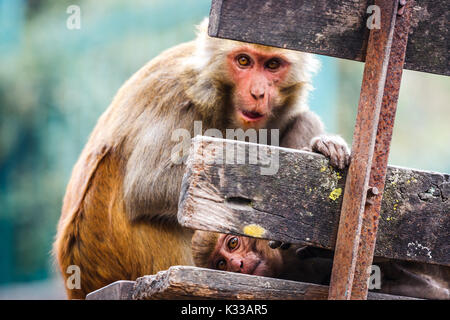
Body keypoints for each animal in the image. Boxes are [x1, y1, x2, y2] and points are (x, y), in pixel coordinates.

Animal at [54, 20, 350, 298]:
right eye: (244, 61)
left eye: (273, 65)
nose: (258, 93)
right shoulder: (177, 95)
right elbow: (147, 185)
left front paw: (322, 146)